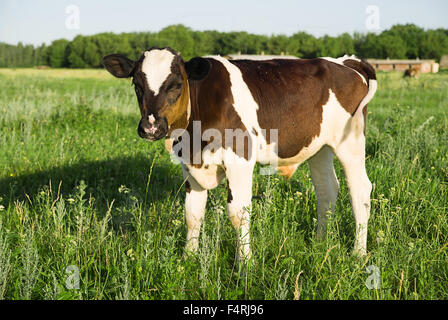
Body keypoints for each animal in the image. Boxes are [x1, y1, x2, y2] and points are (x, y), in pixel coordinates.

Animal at [102, 48, 378, 262]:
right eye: (137, 85)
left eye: (176, 84)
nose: (150, 127)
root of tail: (344, 61)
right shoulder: (189, 166)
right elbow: (192, 214)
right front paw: (188, 258)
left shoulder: (240, 159)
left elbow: (238, 213)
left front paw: (245, 264)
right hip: (318, 147)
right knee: (326, 190)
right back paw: (319, 243)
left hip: (351, 142)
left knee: (360, 191)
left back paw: (358, 253)